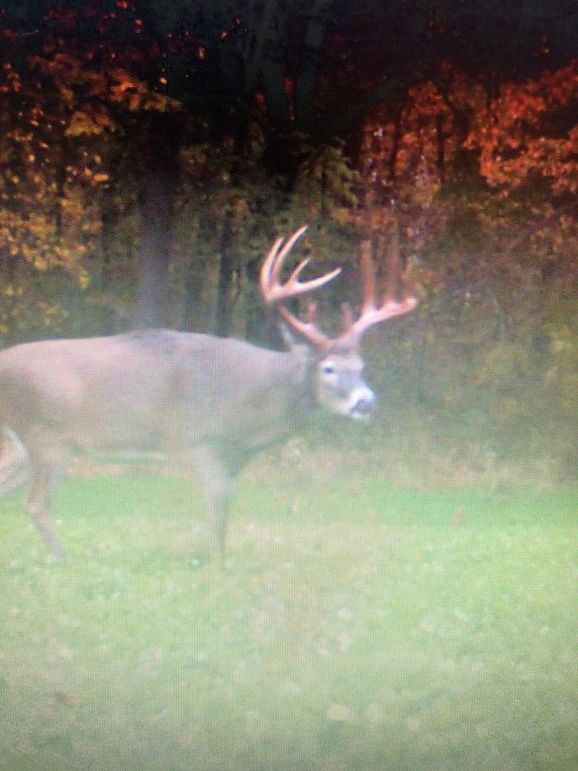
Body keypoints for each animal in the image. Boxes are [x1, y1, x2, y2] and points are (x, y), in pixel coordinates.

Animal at [0, 226, 416, 560]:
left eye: (361, 367)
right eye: (329, 369)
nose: (366, 402)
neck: (252, 409)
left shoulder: (233, 456)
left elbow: (223, 509)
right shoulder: (198, 439)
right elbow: (218, 508)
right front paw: (216, 562)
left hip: (25, 444)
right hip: (49, 438)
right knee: (36, 505)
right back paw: (62, 557)